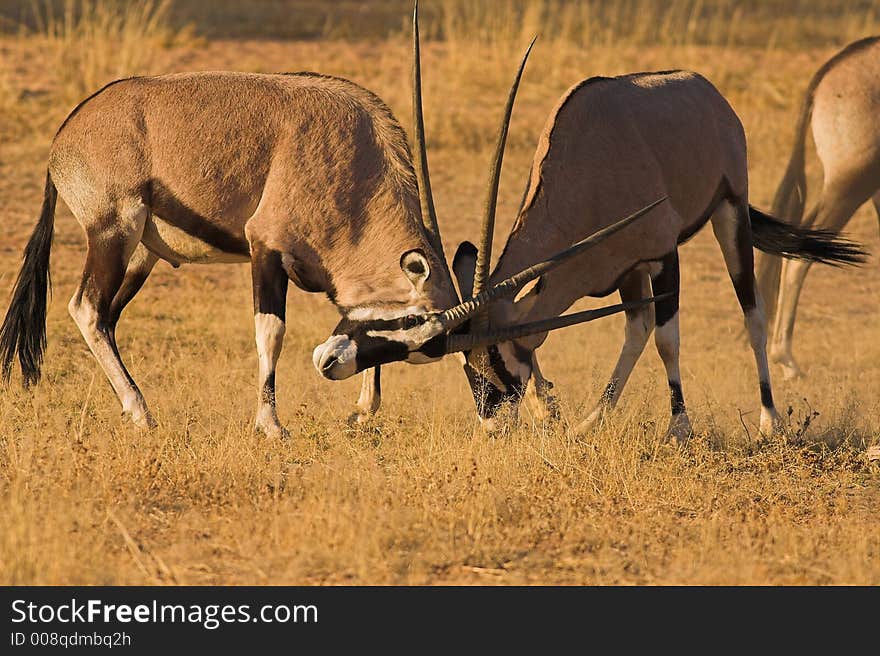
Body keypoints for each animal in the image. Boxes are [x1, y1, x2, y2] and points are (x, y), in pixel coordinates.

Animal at [0, 6, 660, 436]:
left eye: (420, 344)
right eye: (412, 321)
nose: (327, 367)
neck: (357, 162)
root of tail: (66, 134)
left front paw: (363, 411)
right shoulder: (265, 250)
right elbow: (271, 332)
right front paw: (271, 426)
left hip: (142, 252)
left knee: (105, 317)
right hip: (114, 232)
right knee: (86, 309)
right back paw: (142, 414)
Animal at [446, 69, 868, 444]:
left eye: (495, 357)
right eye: (466, 361)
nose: (493, 428)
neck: (585, 174)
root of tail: (706, 89)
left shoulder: (665, 256)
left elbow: (668, 340)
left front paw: (679, 428)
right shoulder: (623, 267)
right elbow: (639, 330)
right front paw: (568, 418)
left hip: (730, 210)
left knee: (753, 314)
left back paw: (770, 420)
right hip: (637, 269)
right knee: (640, 329)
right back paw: (591, 422)